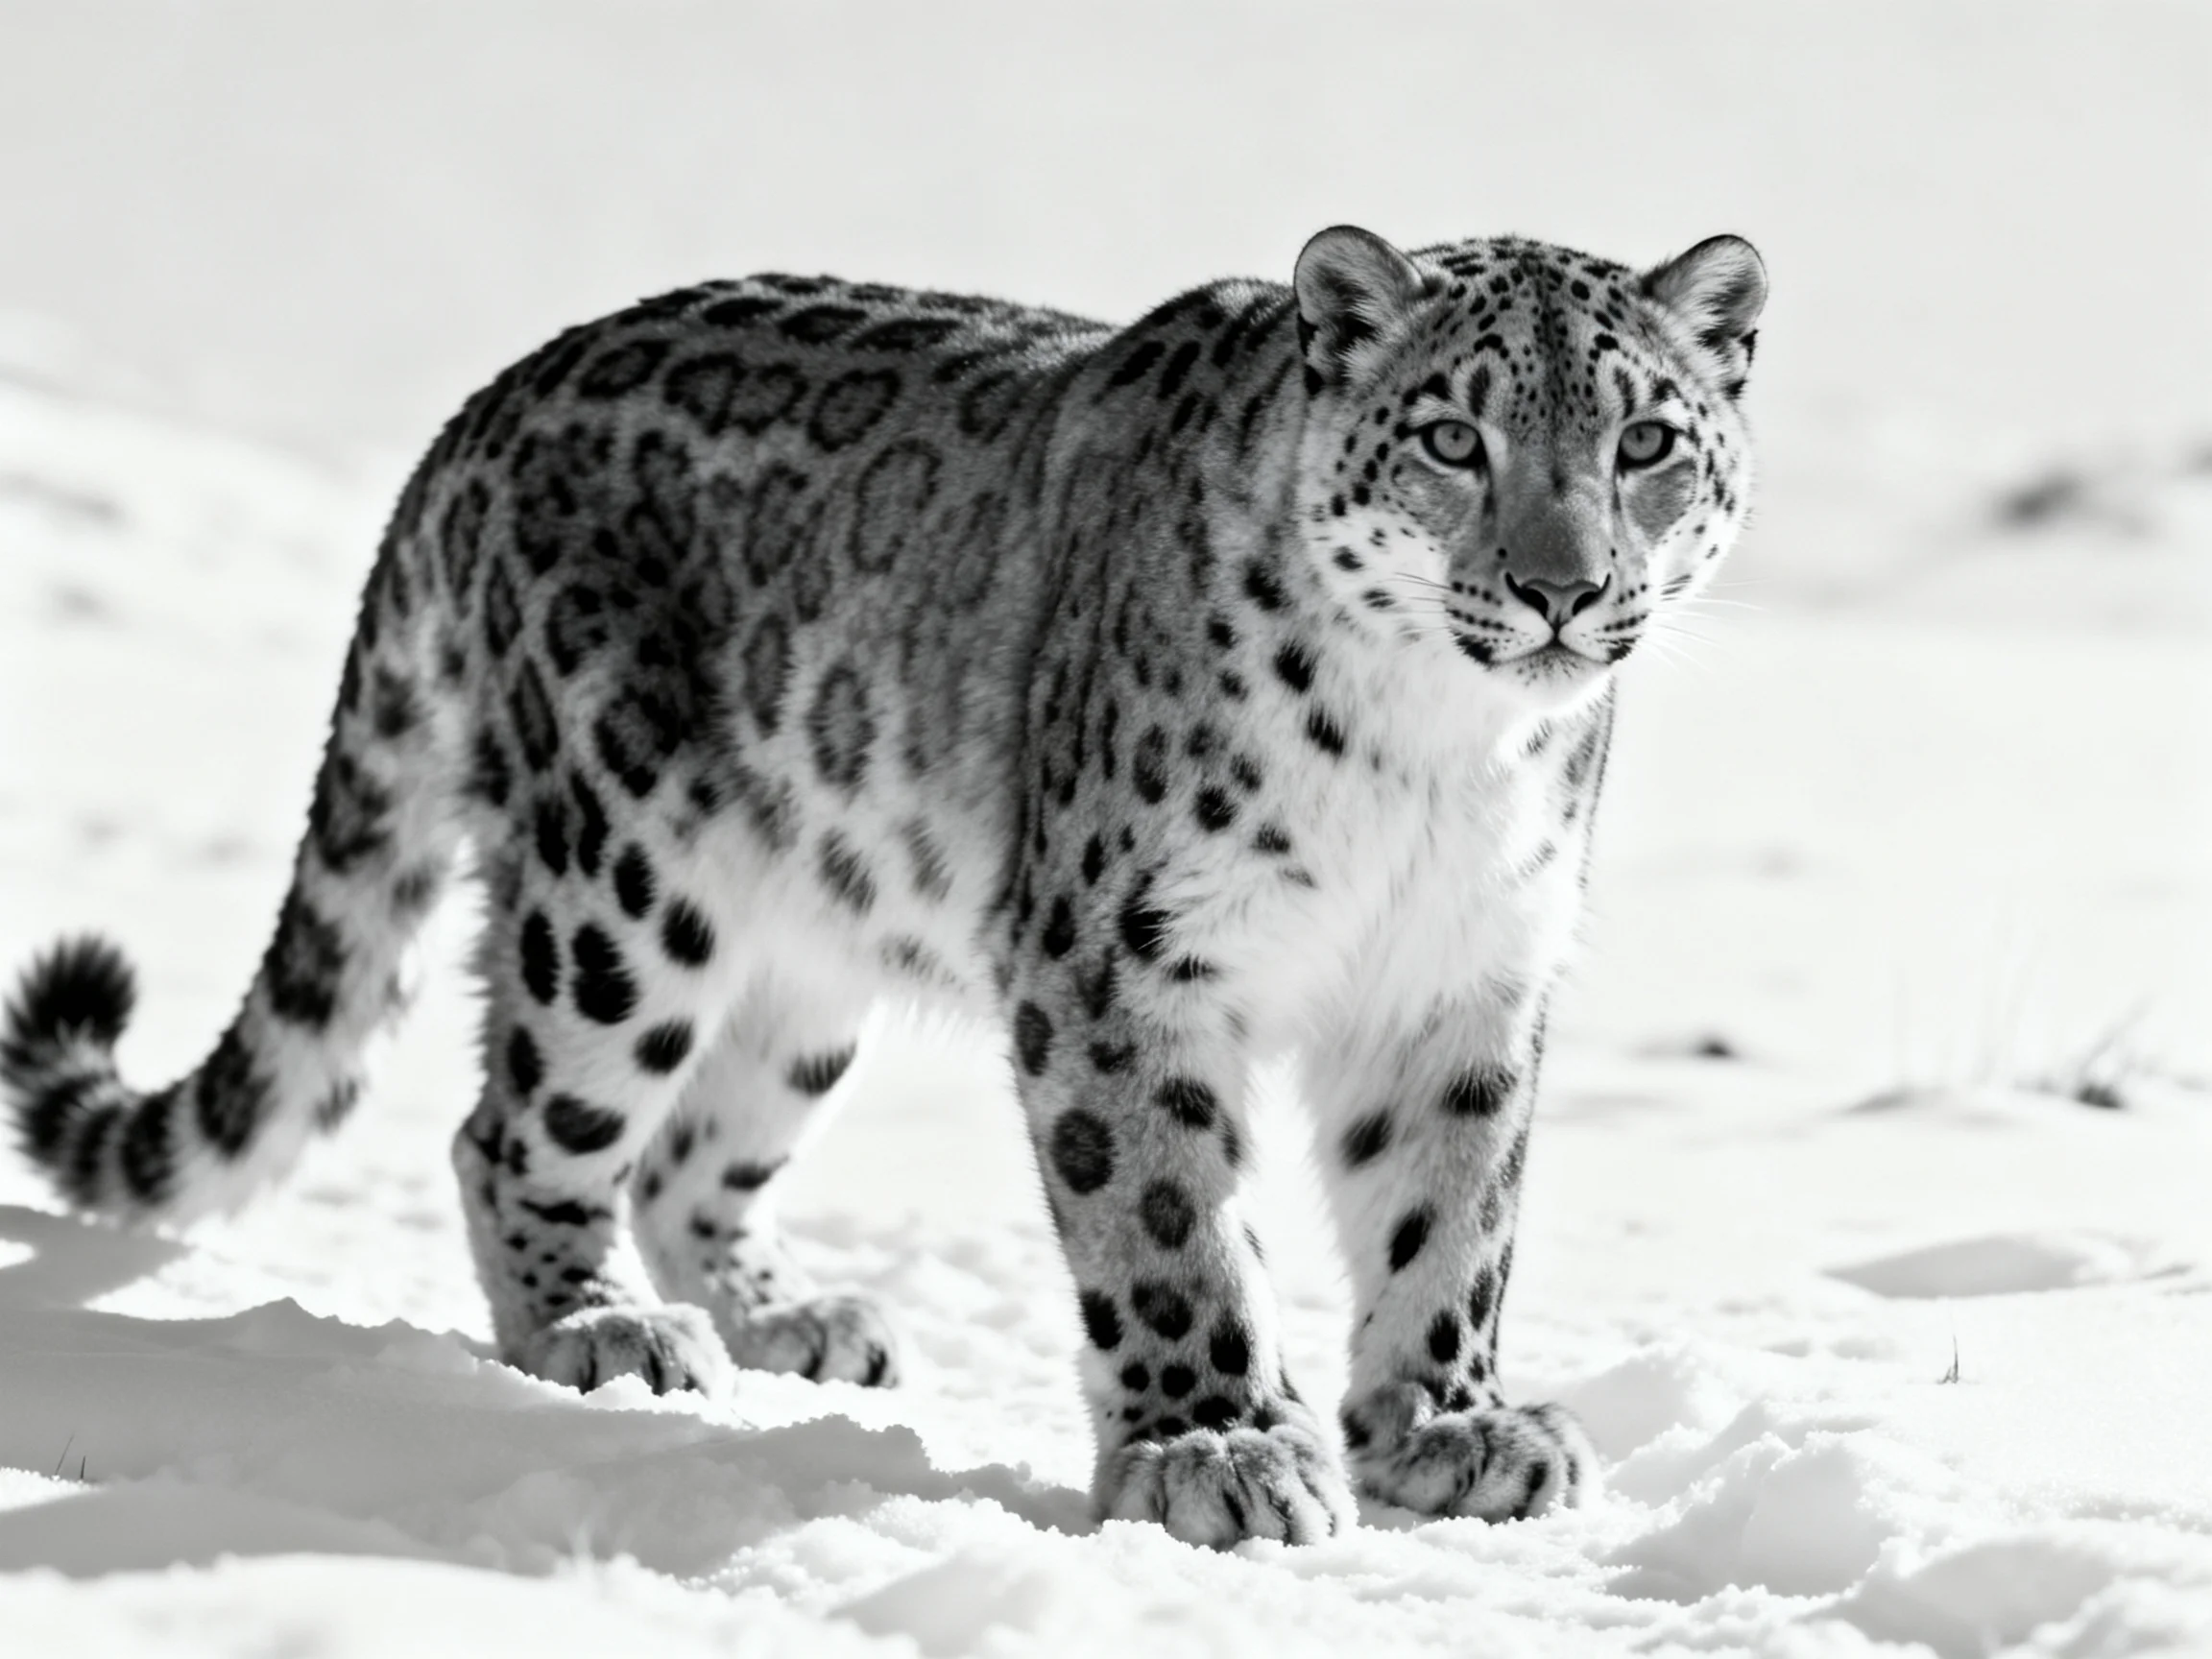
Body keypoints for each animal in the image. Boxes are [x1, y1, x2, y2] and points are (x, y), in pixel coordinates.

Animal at [3, 223, 1765, 1548]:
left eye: (1646, 440)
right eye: (1453, 437)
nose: (1558, 588)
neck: (1435, 753)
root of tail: (483, 406)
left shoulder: (1464, 976)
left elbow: (1449, 1214)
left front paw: (1447, 1427)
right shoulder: (1119, 961)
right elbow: (1166, 1219)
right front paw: (1214, 1449)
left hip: (803, 962)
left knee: (693, 1153)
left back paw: (794, 1319)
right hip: (617, 888)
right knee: (516, 1129)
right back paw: (600, 1331)